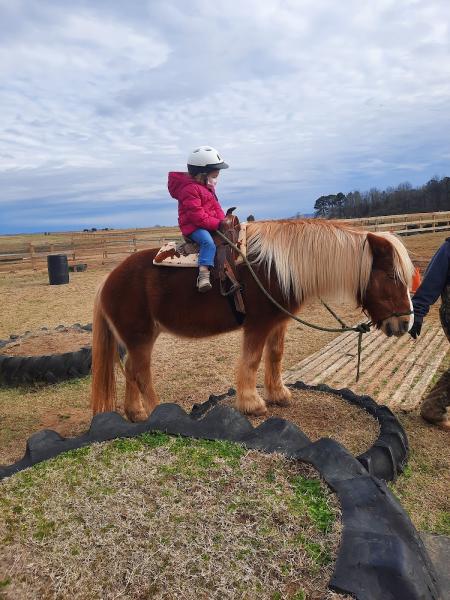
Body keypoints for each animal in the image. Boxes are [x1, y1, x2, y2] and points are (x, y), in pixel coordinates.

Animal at [91, 218, 414, 420]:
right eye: (391, 276)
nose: (406, 323)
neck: (278, 267)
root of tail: (108, 280)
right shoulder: (257, 325)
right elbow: (252, 361)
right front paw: (252, 404)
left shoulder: (278, 322)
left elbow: (275, 355)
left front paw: (278, 394)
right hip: (140, 338)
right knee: (140, 373)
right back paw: (160, 412)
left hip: (138, 340)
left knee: (130, 370)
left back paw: (136, 413)